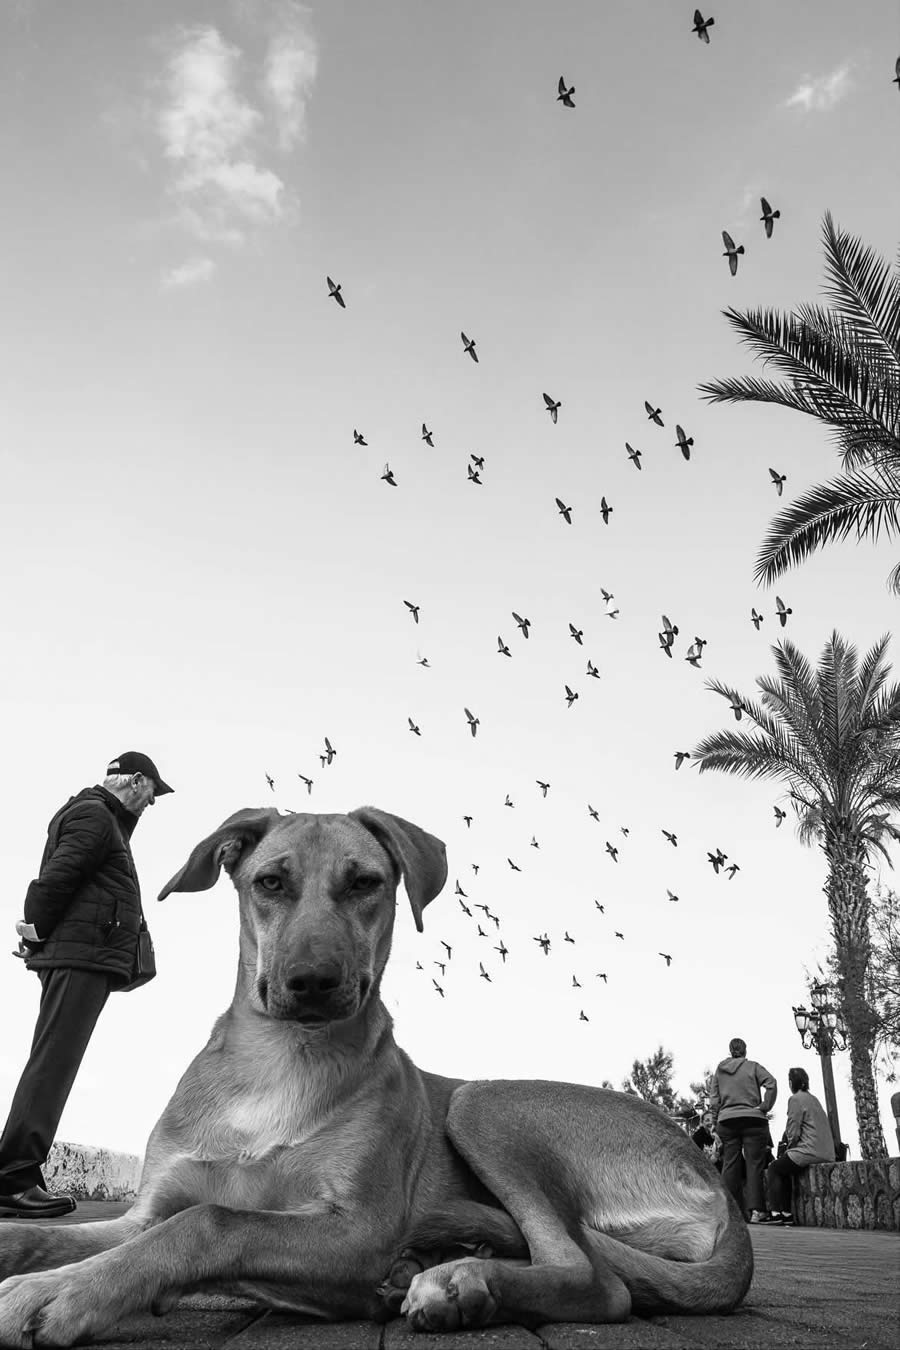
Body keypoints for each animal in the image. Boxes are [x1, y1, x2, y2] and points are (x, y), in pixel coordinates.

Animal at [0, 804, 755, 1344]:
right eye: (270, 882)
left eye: (364, 883)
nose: (312, 982)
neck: (274, 1061)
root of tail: (715, 1182)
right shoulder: (146, 1211)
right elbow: (44, 1236)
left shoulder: (355, 1231)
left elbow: (211, 1222)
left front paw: (57, 1292)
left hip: (482, 1103)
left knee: (598, 1281)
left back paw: (457, 1282)